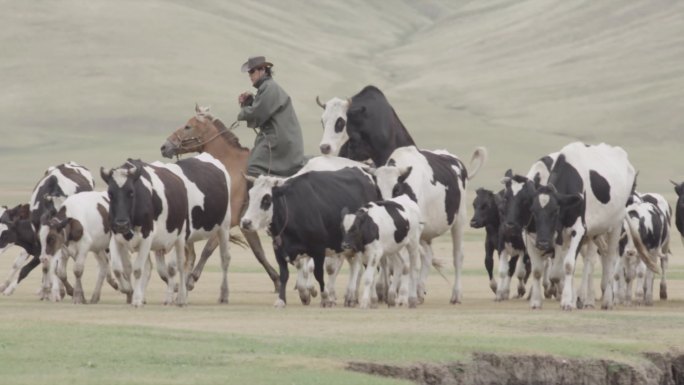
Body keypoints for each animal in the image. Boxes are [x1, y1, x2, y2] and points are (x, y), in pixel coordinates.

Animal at [160, 105, 278, 292]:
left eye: (188, 126)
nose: (164, 147)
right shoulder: (244, 223)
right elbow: (259, 252)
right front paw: (278, 282)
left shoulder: (228, 219)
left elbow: (208, 248)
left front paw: (191, 279)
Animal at [240, 166, 380, 308]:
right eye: (250, 196)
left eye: (266, 199)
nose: (246, 222)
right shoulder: (279, 250)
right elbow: (285, 275)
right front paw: (282, 300)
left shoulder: (318, 250)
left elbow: (318, 274)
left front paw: (325, 298)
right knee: (354, 266)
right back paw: (350, 297)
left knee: (366, 268)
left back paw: (367, 298)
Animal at [342, 85, 486, 304]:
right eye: (377, 188)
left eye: (396, 188)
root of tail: (455, 161)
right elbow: (392, 260)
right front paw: (388, 293)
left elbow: (407, 263)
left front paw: (401, 295)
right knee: (426, 257)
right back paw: (418, 290)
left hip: (459, 220)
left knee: (457, 256)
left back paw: (455, 294)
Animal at [502, 142, 636, 310]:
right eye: (506, 198)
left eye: (555, 211)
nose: (510, 225)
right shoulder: (534, 236)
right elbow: (541, 271)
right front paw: (537, 301)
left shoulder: (578, 231)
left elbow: (567, 266)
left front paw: (567, 301)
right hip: (594, 233)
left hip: (615, 225)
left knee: (606, 259)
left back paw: (604, 300)